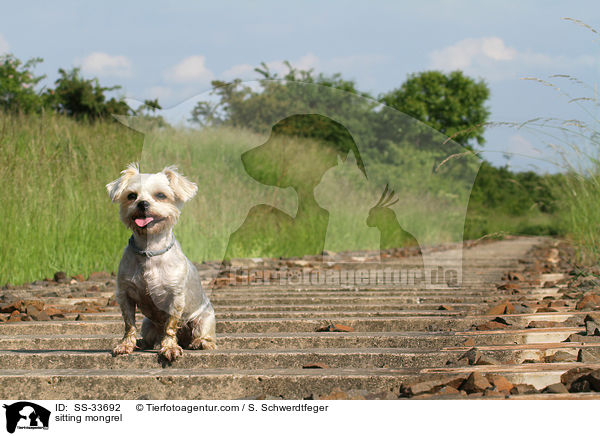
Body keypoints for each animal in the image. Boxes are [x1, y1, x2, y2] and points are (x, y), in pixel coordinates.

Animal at [106, 164, 217, 362]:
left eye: (160, 195)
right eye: (131, 196)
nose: (142, 203)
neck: (149, 251)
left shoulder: (175, 298)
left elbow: (170, 326)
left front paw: (170, 348)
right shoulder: (124, 294)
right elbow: (129, 323)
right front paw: (126, 345)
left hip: (203, 320)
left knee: (204, 336)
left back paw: (200, 342)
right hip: (148, 324)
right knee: (151, 336)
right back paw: (143, 343)